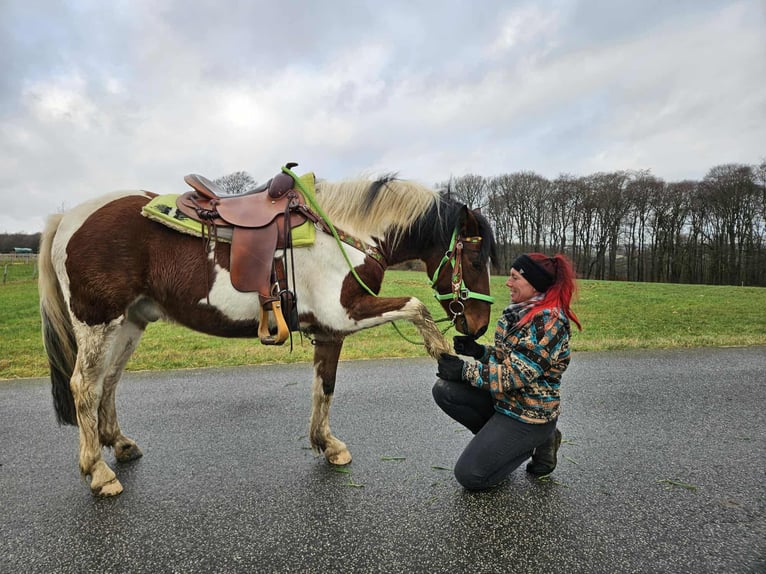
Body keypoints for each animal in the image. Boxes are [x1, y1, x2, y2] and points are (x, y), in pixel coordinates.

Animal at [38, 169, 497, 496]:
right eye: (476, 259)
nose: (478, 325)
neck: (344, 233)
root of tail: (68, 218)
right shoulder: (346, 314)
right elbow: (417, 307)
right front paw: (443, 352)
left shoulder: (330, 330)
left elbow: (324, 386)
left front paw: (326, 444)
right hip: (98, 322)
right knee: (85, 387)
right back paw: (99, 472)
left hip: (130, 323)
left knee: (109, 381)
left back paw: (119, 444)